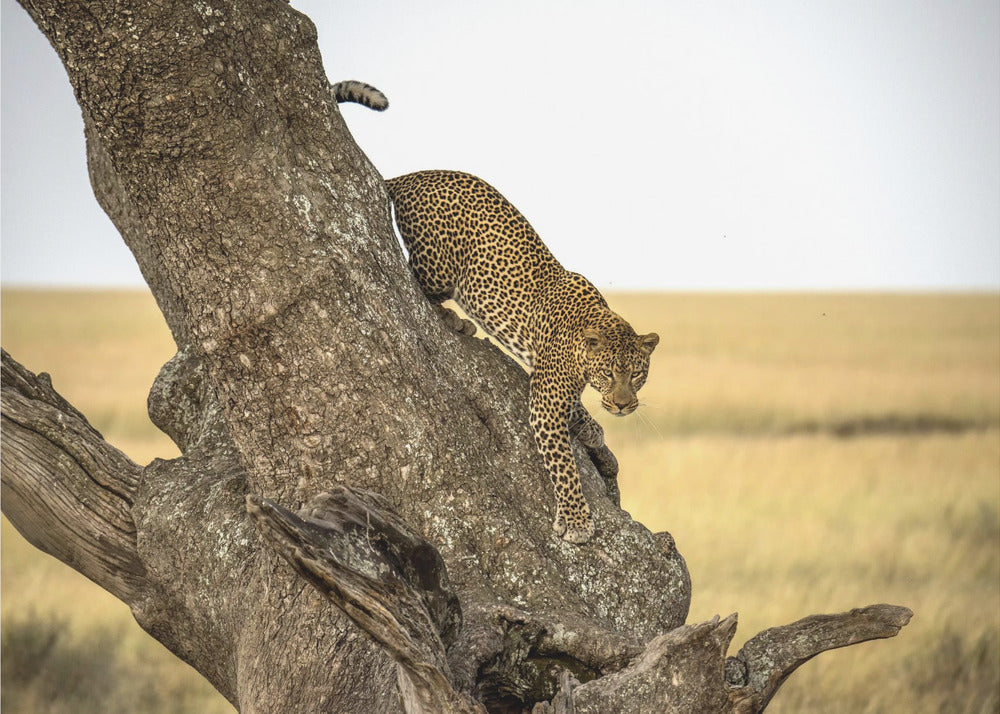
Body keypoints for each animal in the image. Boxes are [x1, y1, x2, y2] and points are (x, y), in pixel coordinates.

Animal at [332, 82, 659, 544]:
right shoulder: (545, 400)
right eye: (610, 373)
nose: (625, 405)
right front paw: (576, 520)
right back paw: (455, 320)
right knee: (413, 279)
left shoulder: (545, 378)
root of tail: (413, 176)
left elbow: (575, 410)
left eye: (638, 374)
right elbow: (563, 465)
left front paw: (590, 427)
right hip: (440, 264)